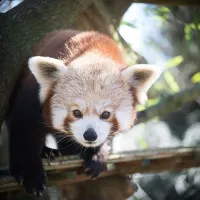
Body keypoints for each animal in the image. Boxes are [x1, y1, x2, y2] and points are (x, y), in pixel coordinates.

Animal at [5, 29, 162, 197]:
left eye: (105, 114)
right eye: (76, 112)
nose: (90, 135)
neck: (94, 52)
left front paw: (96, 154)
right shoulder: (33, 95)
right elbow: (24, 130)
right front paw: (31, 174)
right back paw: (48, 152)